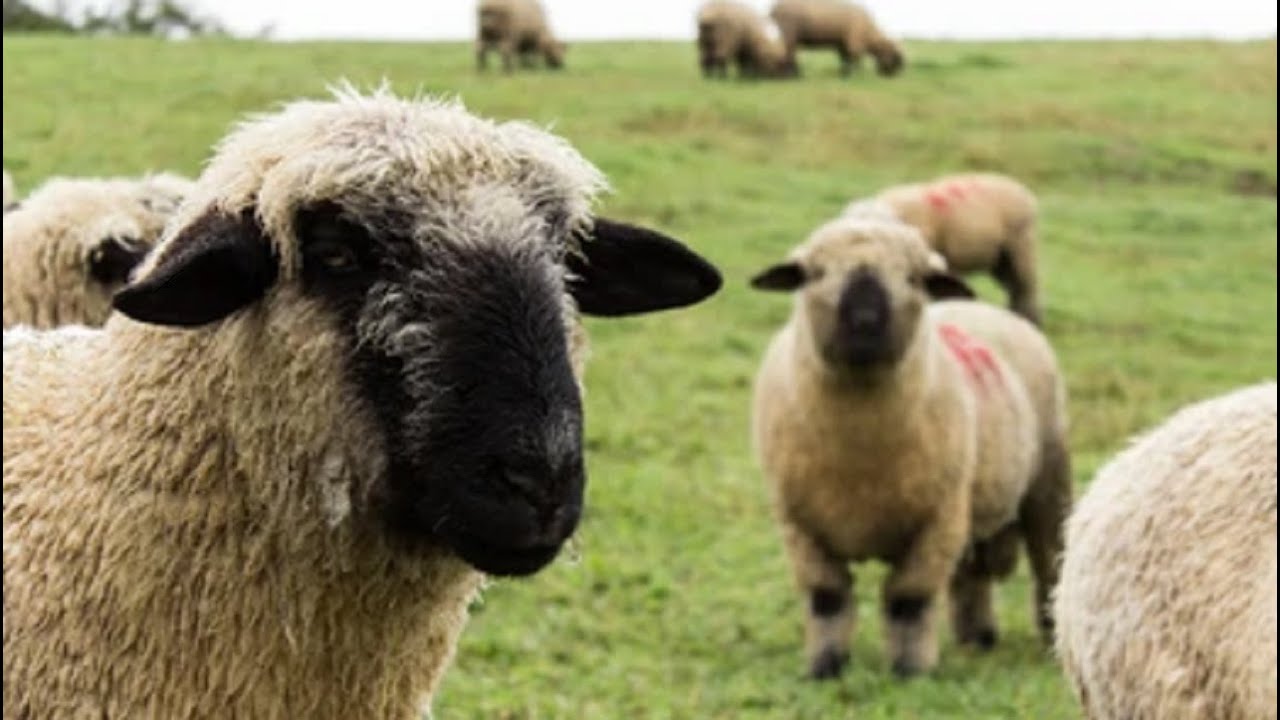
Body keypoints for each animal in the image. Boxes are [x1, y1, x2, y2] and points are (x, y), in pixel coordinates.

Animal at [749, 216, 1070, 680]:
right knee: (971, 573)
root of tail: (984, 308)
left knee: (1049, 564)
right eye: (816, 274)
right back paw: (977, 636)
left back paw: (1048, 643)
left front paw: (910, 671)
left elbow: (909, 599)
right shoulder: (800, 525)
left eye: (913, 278)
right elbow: (827, 598)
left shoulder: (935, 522)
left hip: (1045, 481)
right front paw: (825, 666)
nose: (865, 323)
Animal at [769, 0, 904, 77]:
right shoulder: (854, 40)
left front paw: (844, 73)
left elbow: (845, 58)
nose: (894, 75)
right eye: (894, 54)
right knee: (790, 54)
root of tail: (774, 8)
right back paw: (794, 75)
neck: (869, 33)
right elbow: (855, 58)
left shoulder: (842, 43)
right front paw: (855, 75)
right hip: (789, 32)